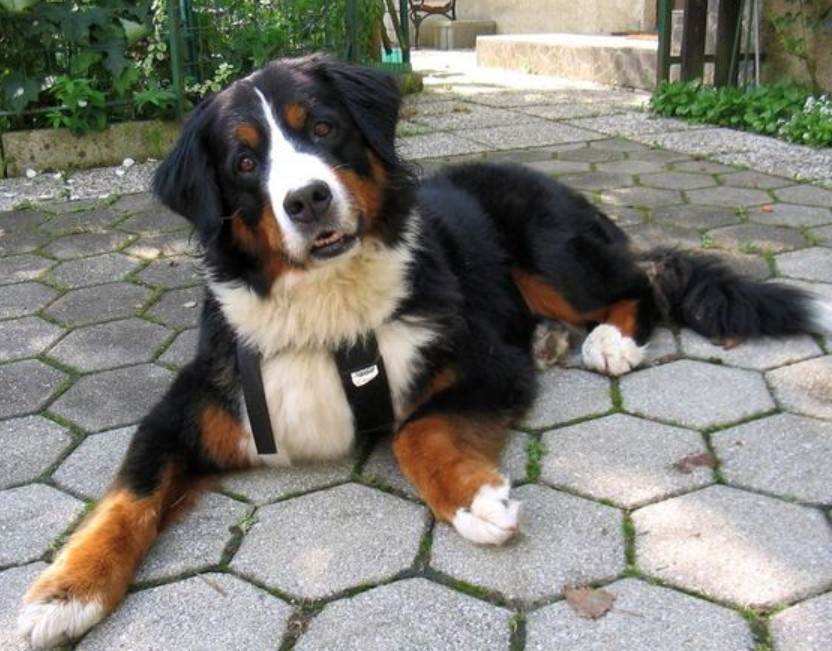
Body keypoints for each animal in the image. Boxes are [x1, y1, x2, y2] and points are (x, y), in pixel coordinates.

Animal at [19, 56, 832, 648]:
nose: (307, 199)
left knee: (646, 286)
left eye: (323, 127)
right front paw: (64, 591)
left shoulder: (486, 366)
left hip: (552, 252)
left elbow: (415, 431)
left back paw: (605, 341)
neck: (329, 313)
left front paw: (474, 499)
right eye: (244, 164)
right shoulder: (191, 405)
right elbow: (126, 494)